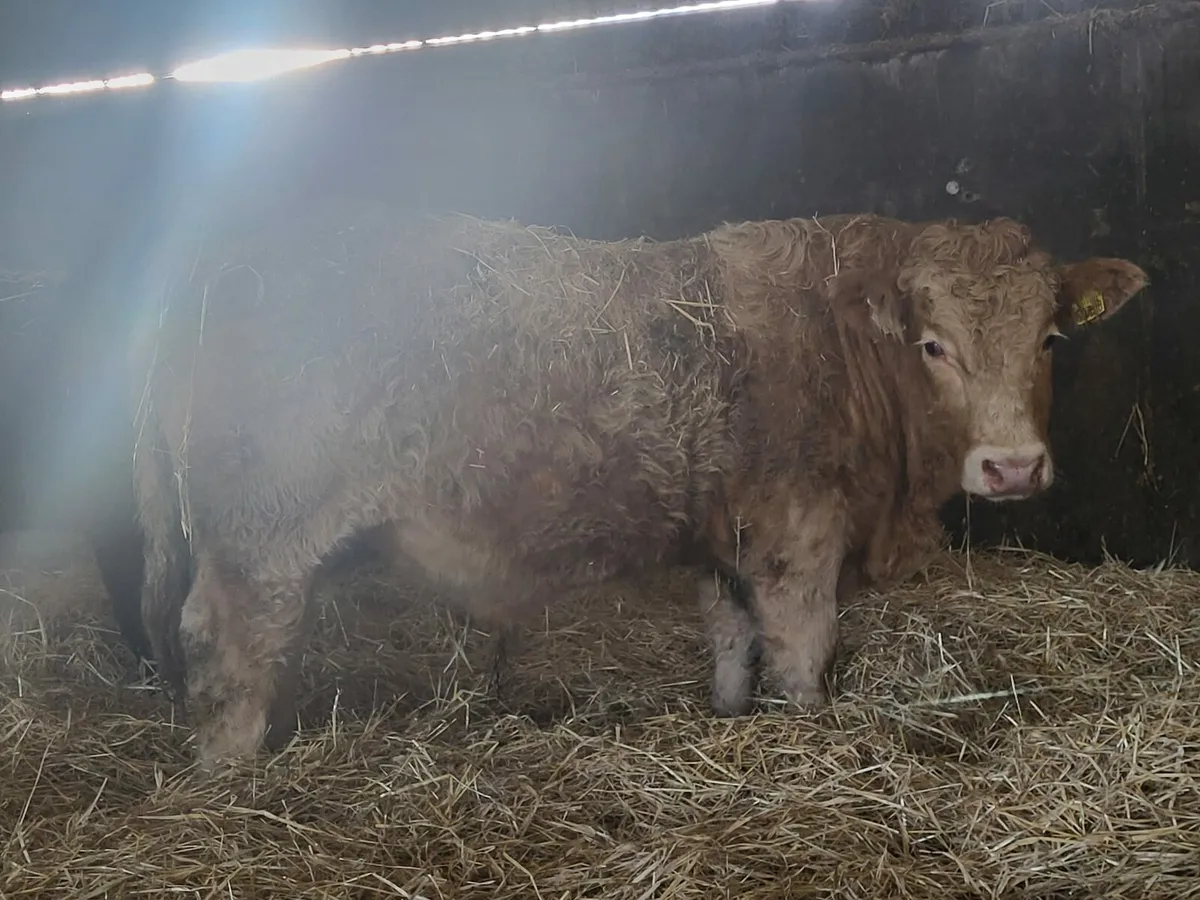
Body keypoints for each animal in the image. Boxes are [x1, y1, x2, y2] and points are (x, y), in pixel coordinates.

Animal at [130, 207, 1148, 770]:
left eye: (1048, 339)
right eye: (934, 346)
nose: (1013, 466)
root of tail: (227, 257)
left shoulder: (729, 535)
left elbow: (732, 640)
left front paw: (730, 718)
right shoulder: (798, 535)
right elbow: (801, 652)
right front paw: (807, 734)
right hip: (262, 535)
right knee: (226, 645)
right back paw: (232, 776)